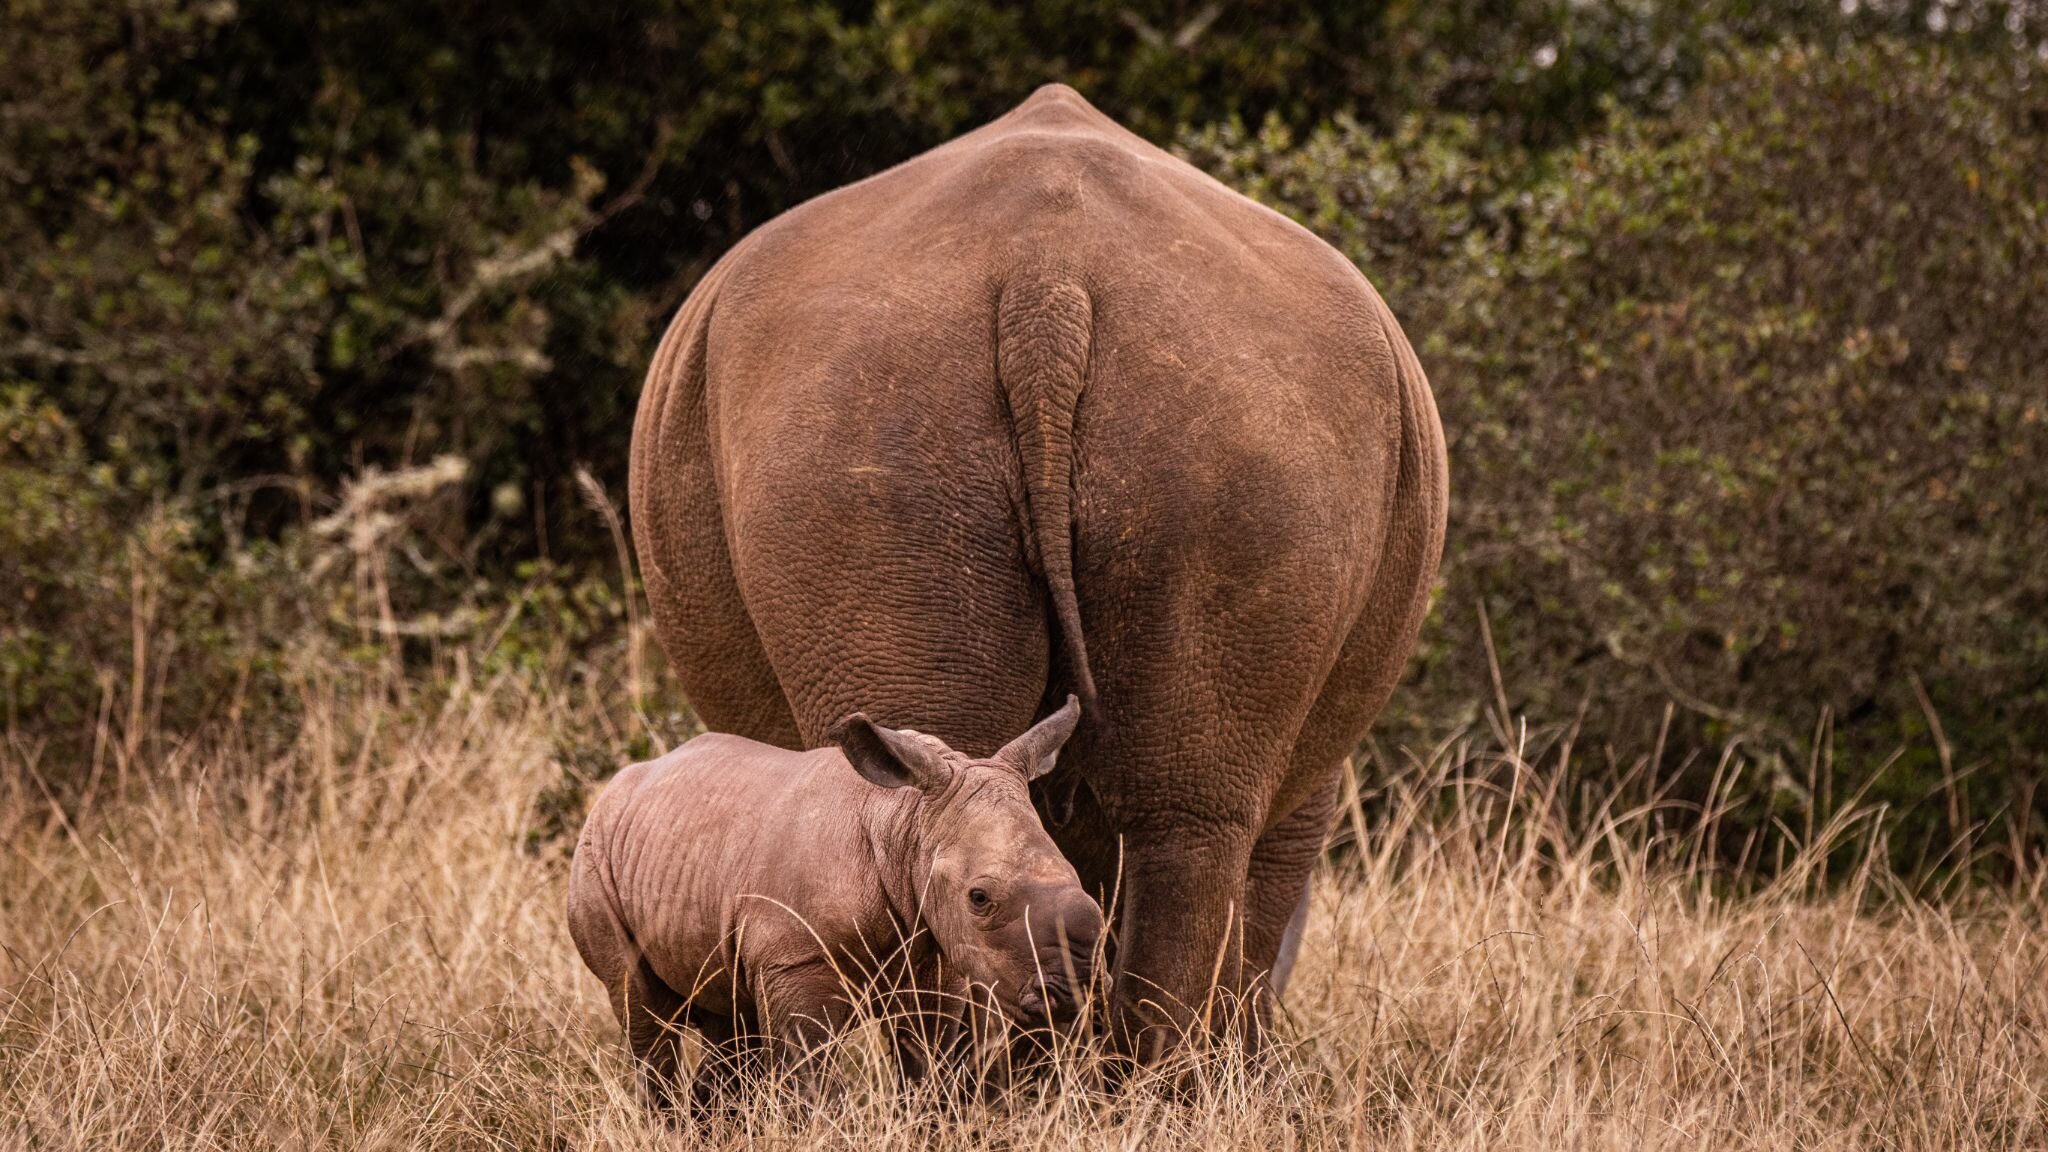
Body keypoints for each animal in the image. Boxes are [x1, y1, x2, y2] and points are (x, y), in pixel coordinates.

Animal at [561, 688, 1105, 1106]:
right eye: (979, 898)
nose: (1069, 993)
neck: (905, 824)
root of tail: (613, 792)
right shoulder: (795, 959)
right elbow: (812, 1075)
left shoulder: (936, 954)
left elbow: (927, 1063)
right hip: (591, 860)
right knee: (643, 1013)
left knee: (727, 1019)